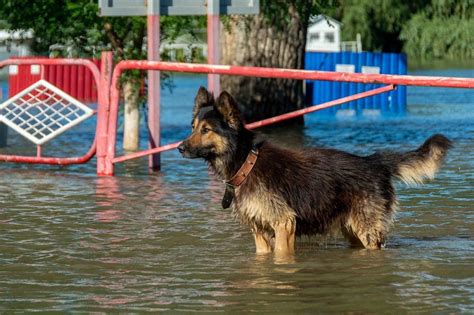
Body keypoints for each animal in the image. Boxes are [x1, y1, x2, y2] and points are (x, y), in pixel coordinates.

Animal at [179, 86, 452, 256]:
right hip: (352, 230)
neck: (247, 162)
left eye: (206, 130)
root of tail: (374, 161)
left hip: (367, 231)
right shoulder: (259, 230)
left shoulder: (284, 223)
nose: (180, 148)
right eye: (192, 127)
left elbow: (282, 255)